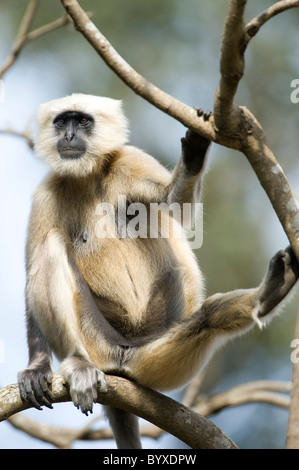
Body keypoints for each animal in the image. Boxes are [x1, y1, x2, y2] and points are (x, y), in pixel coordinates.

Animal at [18, 92, 299, 448]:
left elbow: (175, 205)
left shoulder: (129, 161)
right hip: (97, 340)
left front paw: (195, 151)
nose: (68, 136)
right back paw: (78, 362)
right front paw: (36, 368)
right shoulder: (47, 193)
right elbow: (31, 273)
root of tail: (121, 359)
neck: (89, 176)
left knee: (207, 318)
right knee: (52, 246)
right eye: (61, 122)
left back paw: (272, 290)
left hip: (149, 355)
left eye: (81, 121)